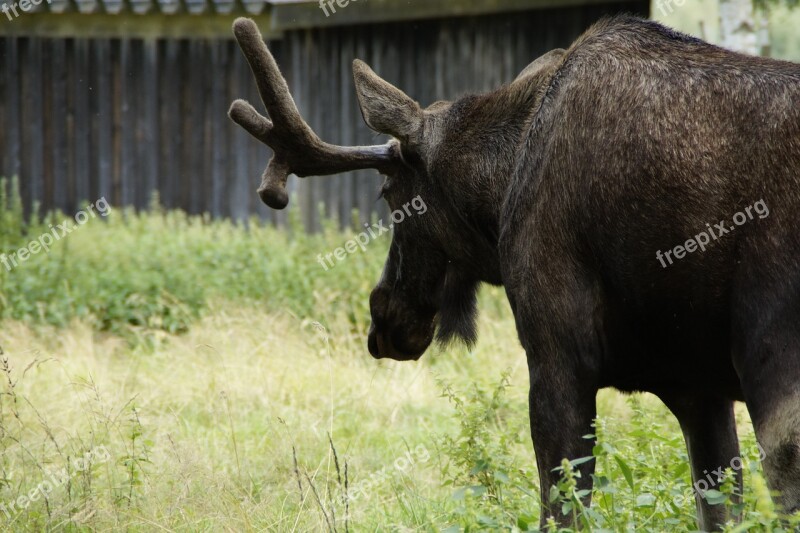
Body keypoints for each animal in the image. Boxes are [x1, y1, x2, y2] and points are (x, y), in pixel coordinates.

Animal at [228, 15, 800, 528]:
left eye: (388, 194)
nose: (383, 317)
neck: (501, 186)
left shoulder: (558, 353)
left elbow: (562, 507)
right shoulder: (696, 386)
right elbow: (721, 509)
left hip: (772, 356)